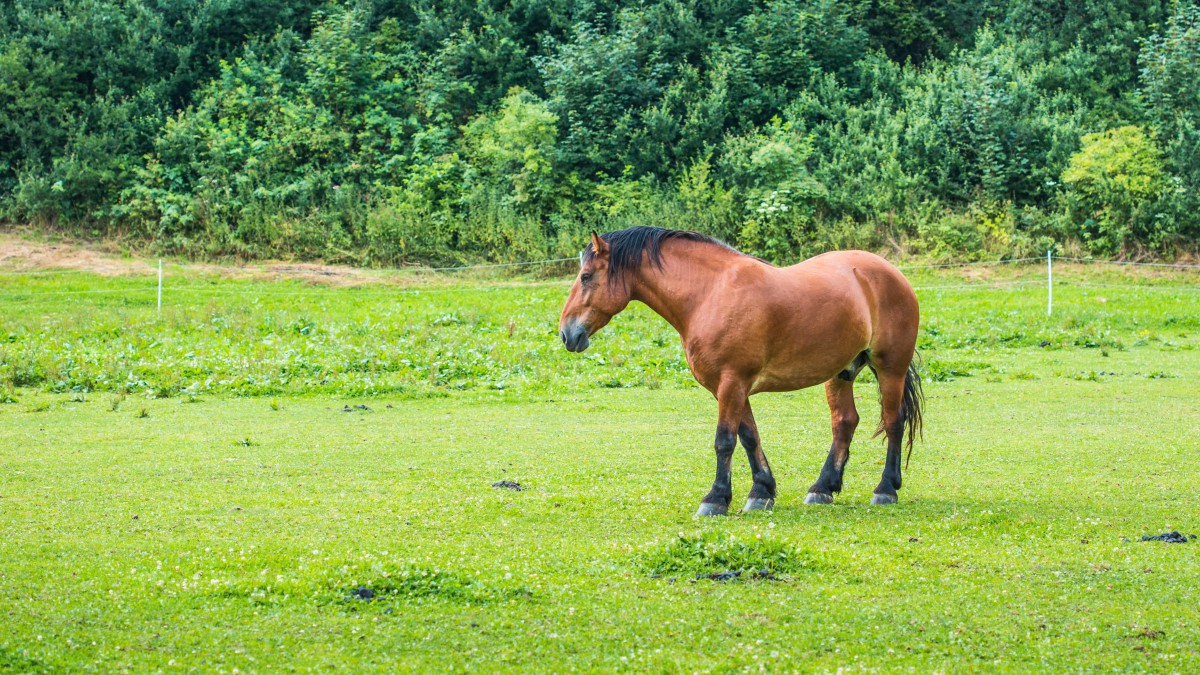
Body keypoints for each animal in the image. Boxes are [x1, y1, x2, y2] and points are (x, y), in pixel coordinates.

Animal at [556, 223, 921, 511]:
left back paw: (886, 489)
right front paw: (761, 491)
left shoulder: (732, 382)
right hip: (840, 372)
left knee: (893, 421)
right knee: (844, 422)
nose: (567, 334)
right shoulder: (730, 386)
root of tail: (890, 272)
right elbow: (748, 437)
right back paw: (823, 488)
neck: (709, 295)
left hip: (890, 369)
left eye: (586, 277)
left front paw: (716, 499)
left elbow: (725, 440)